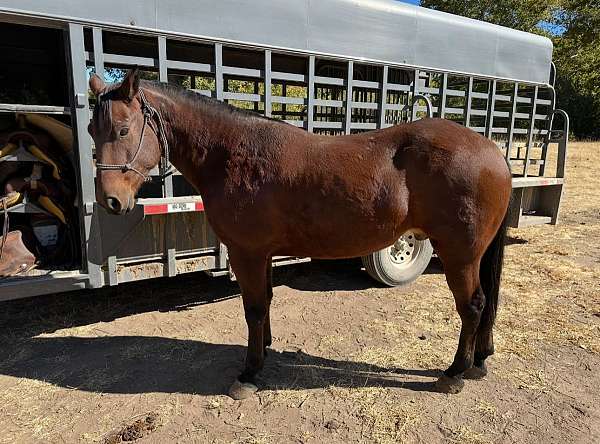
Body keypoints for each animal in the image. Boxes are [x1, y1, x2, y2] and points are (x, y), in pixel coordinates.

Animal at [89, 68, 510, 398]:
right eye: (93, 130)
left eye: (123, 130)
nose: (111, 200)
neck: (231, 154)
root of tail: (491, 149)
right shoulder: (261, 254)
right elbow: (265, 303)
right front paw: (265, 351)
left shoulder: (247, 253)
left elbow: (254, 308)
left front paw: (250, 372)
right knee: (486, 303)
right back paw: (478, 362)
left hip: (459, 254)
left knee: (473, 305)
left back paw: (454, 373)